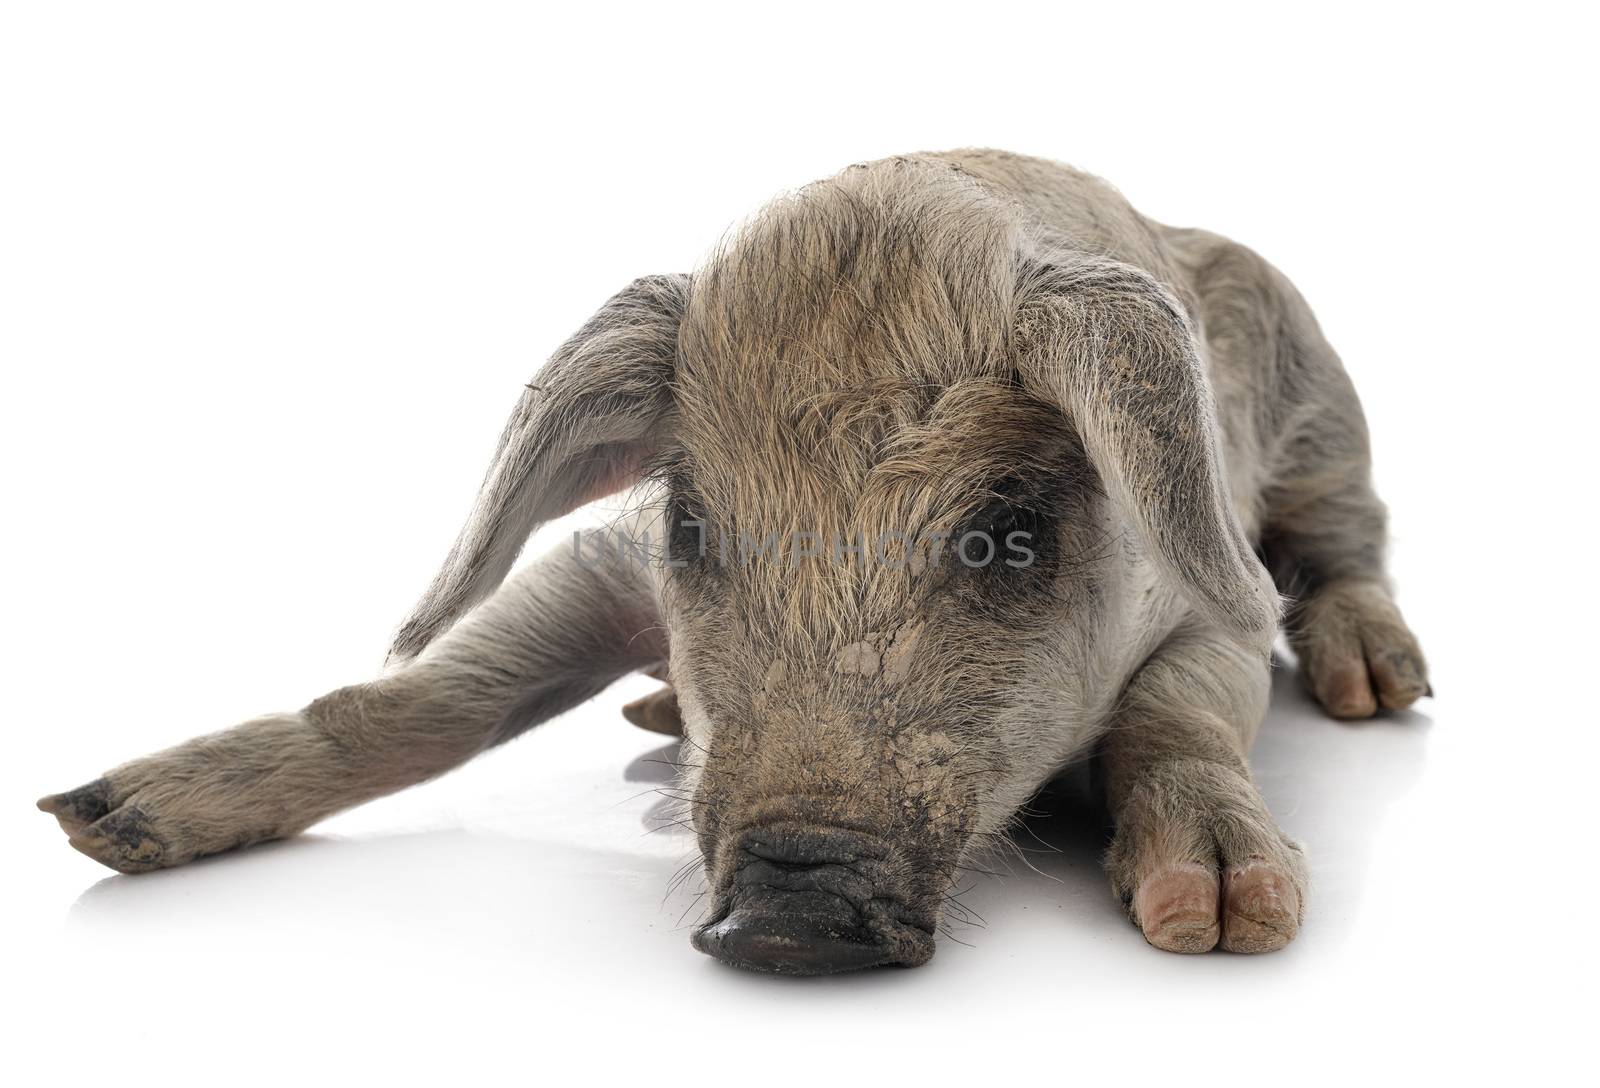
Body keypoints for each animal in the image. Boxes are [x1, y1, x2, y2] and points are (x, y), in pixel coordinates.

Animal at [43, 148, 1433, 972]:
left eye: (1010, 532)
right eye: (695, 527)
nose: (790, 912)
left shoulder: (1201, 600)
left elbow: (1178, 713)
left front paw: (1220, 922)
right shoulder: (610, 563)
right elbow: (431, 694)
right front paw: (94, 821)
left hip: (1324, 411)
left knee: (1346, 541)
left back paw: (1381, 687)